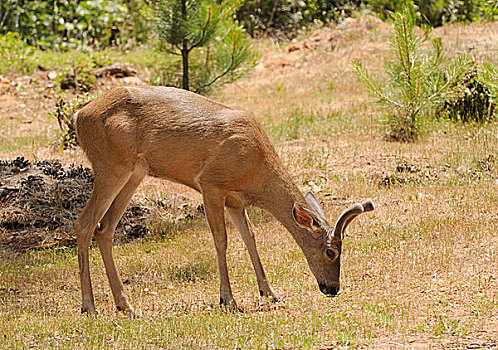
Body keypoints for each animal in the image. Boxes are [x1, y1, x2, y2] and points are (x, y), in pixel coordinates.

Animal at [74, 86, 374, 316]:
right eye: (331, 252)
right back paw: (89, 307)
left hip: (135, 171)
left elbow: (250, 236)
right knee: (84, 223)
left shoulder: (235, 201)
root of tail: (79, 114)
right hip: (110, 164)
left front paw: (269, 292)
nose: (332, 288)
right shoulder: (211, 184)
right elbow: (221, 239)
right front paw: (228, 299)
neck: (256, 169)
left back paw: (125, 306)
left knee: (105, 228)